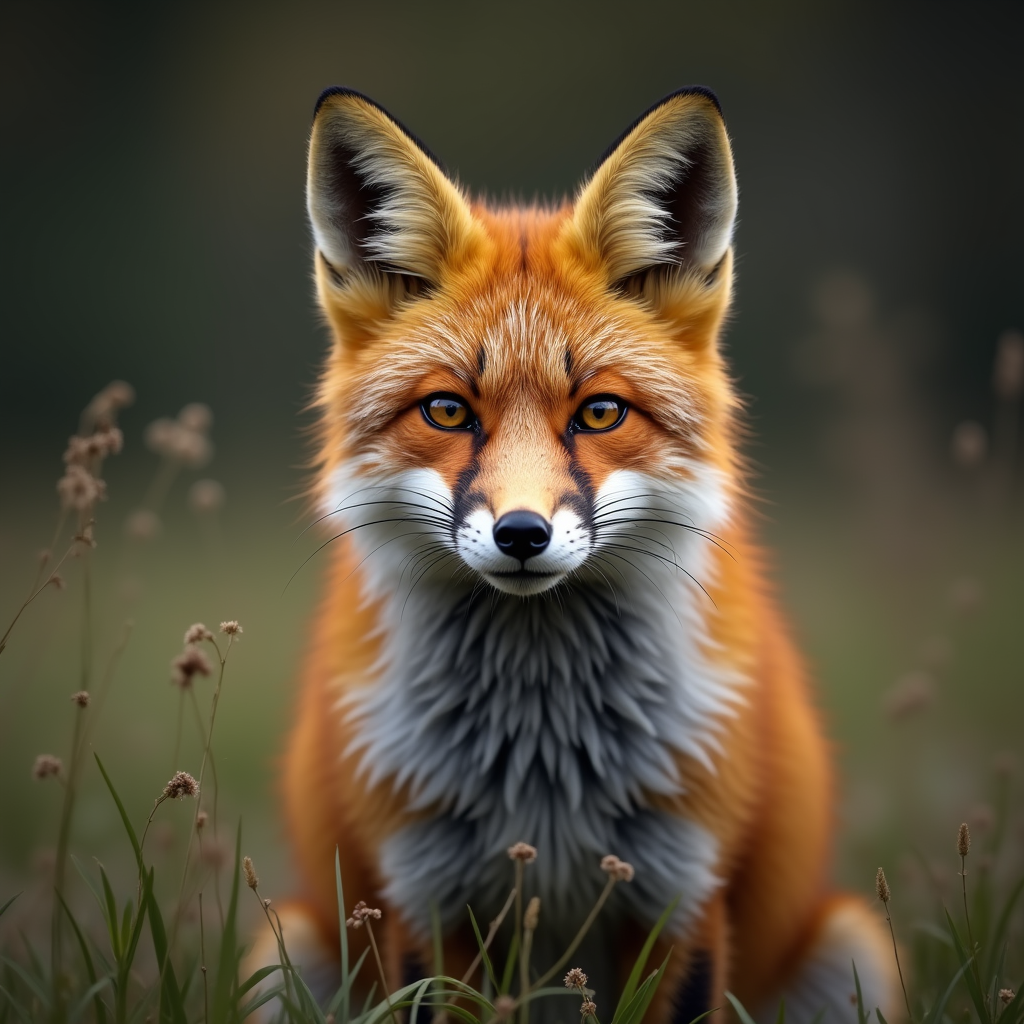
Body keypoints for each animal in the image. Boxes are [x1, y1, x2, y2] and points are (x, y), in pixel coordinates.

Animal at [255, 86, 898, 1024]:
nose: (522, 534)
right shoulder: (424, 899)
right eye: (447, 411)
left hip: (854, 948)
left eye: (599, 413)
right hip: (289, 951)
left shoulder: (683, 892)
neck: (542, 768)